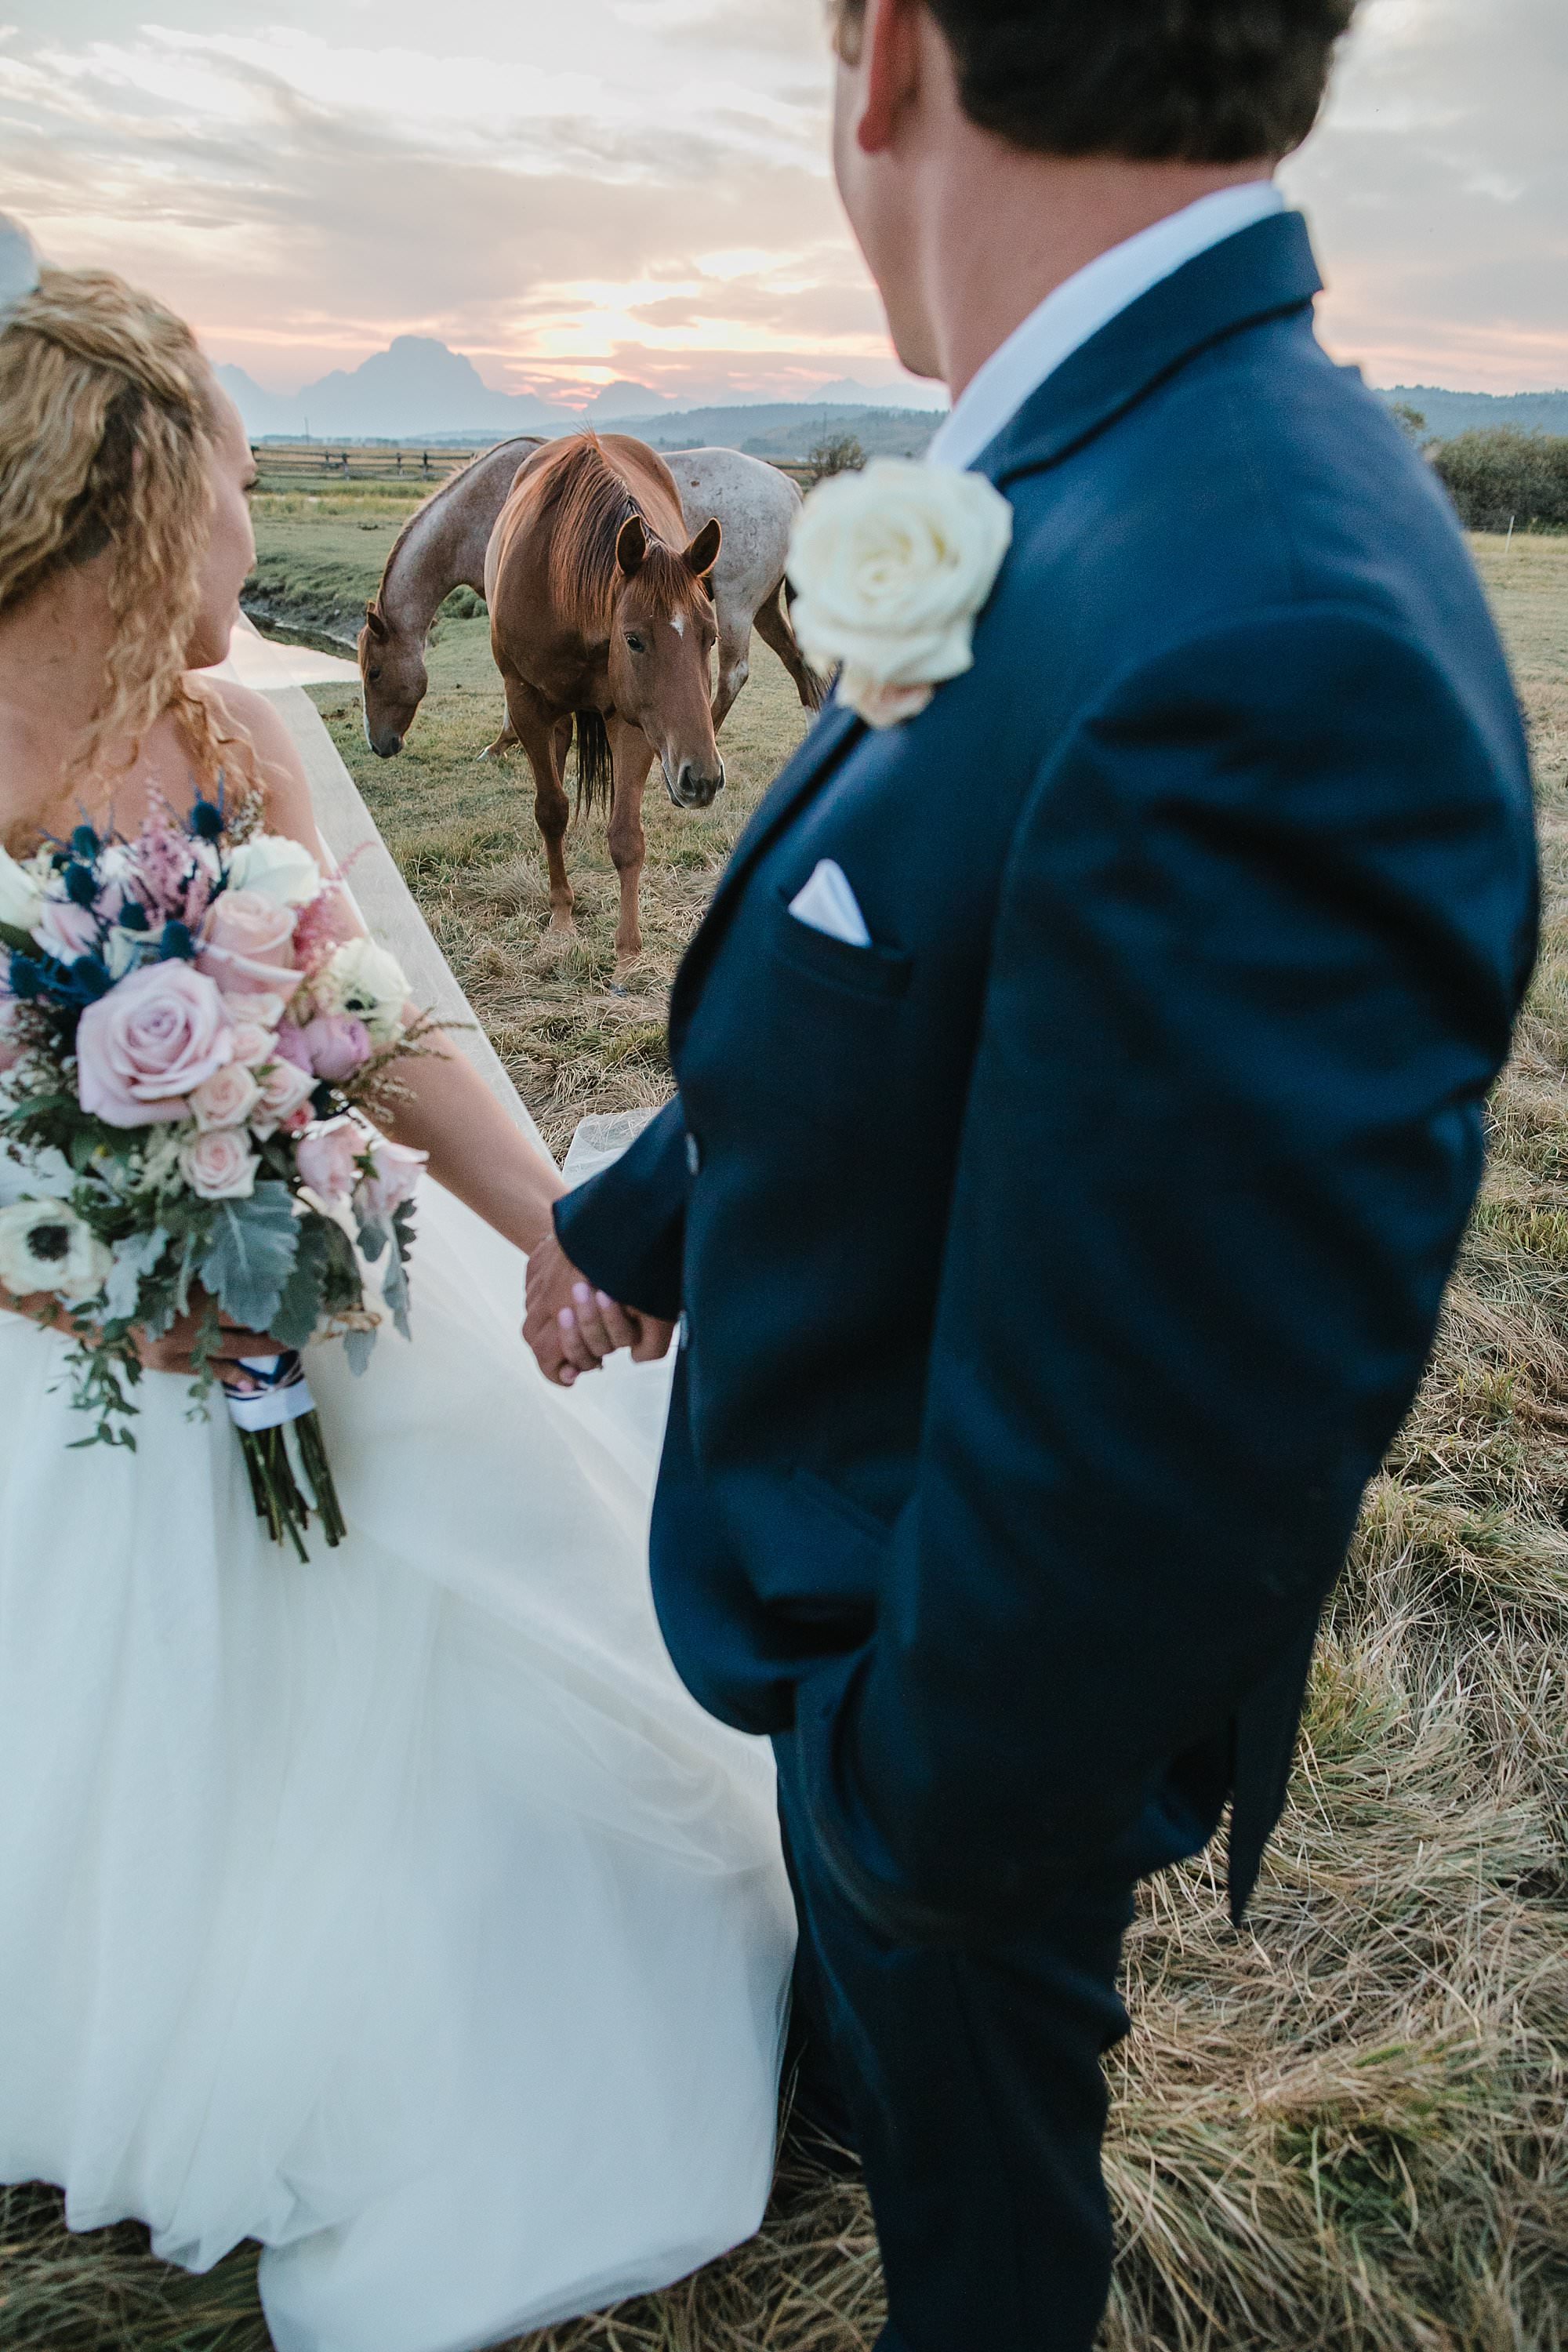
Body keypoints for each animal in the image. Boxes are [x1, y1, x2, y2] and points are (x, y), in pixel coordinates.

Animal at [354, 442, 822, 762]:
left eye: (374, 673)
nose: (379, 745)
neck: (482, 509)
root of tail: (788, 486)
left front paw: (502, 743)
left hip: (735, 606)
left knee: (733, 675)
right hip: (764, 609)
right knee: (797, 660)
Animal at [484, 433, 724, 964]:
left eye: (711, 637)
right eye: (633, 640)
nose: (702, 779)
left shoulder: (632, 721)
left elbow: (627, 837)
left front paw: (629, 953)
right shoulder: (525, 702)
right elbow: (551, 811)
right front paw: (561, 919)